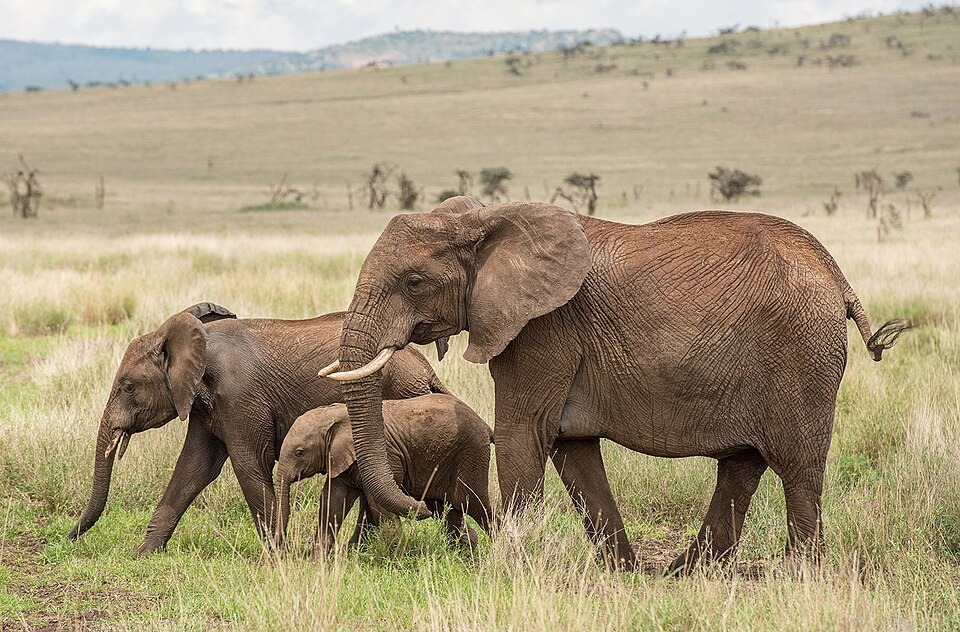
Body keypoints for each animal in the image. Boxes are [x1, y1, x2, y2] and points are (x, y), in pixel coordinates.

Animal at [68, 303, 449, 554]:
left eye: (128, 387)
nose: (70, 538)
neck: (199, 341)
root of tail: (426, 369)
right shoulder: (206, 405)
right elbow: (193, 468)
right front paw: (144, 554)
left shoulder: (240, 398)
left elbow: (249, 465)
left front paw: (277, 558)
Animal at [275, 393, 493, 557]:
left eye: (299, 452)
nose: (283, 549)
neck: (334, 416)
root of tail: (485, 425)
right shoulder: (340, 460)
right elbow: (332, 503)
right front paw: (318, 563)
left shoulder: (386, 456)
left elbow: (378, 506)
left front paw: (394, 560)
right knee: (447, 511)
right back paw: (467, 554)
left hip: (472, 454)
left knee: (473, 503)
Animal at [319, 196, 912, 573]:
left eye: (414, 281)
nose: (424, 507)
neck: (490, 219)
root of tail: (838, 276)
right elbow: (572, 449)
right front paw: (619, 572)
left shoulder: (542, 330)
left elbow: (521, 435)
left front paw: (509, 569)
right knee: (742, 465)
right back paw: (684, 573)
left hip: (802, 360)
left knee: (798, 470)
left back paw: (799, 577)